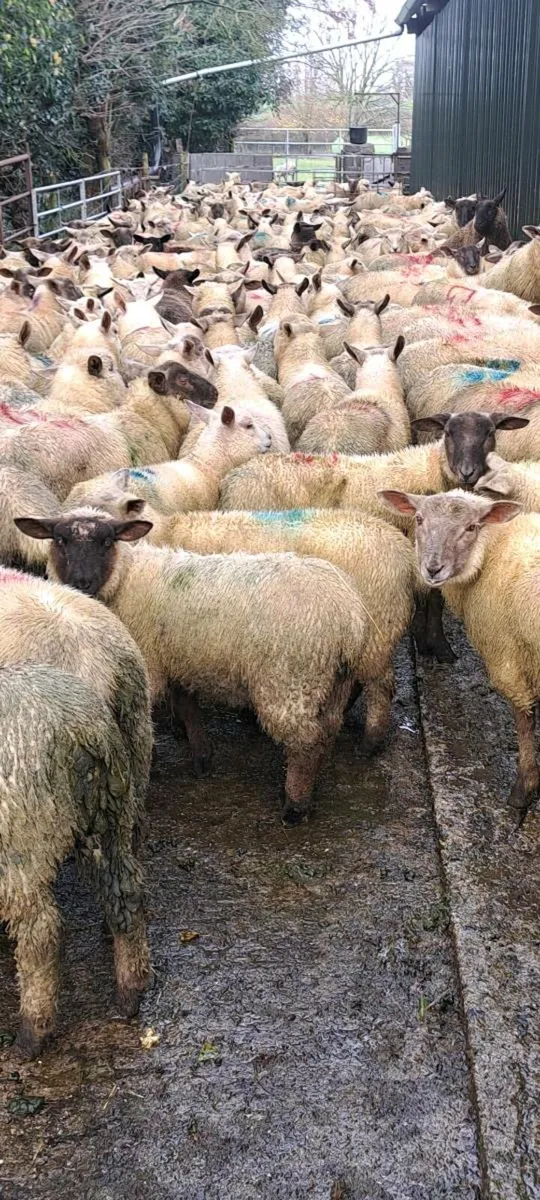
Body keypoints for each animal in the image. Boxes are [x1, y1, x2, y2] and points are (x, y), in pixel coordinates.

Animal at [0, 663, 149, 1058]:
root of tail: (83, 729)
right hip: (110, 815)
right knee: (125, 895)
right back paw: (130, 993)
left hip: (21, 846)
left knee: (40, 932)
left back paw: (31, 1033)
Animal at [35, 509, 372, 824]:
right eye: (60, 540)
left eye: (107, 542)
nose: (81, 583)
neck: (127, 578)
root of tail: (349, 614)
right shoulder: (178, 661)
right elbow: (188, 708)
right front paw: (202, 758)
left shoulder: (150, 664)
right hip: (334, 682)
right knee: (327, 730)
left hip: (290, 677)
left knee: (305, 742)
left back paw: (295, 806)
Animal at [380, 487, 540, 820]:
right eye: (419, 518)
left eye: (471, 527)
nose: (432, 568)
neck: (489, 550)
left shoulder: (508, 657)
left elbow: (524, 720)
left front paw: (524, 788)